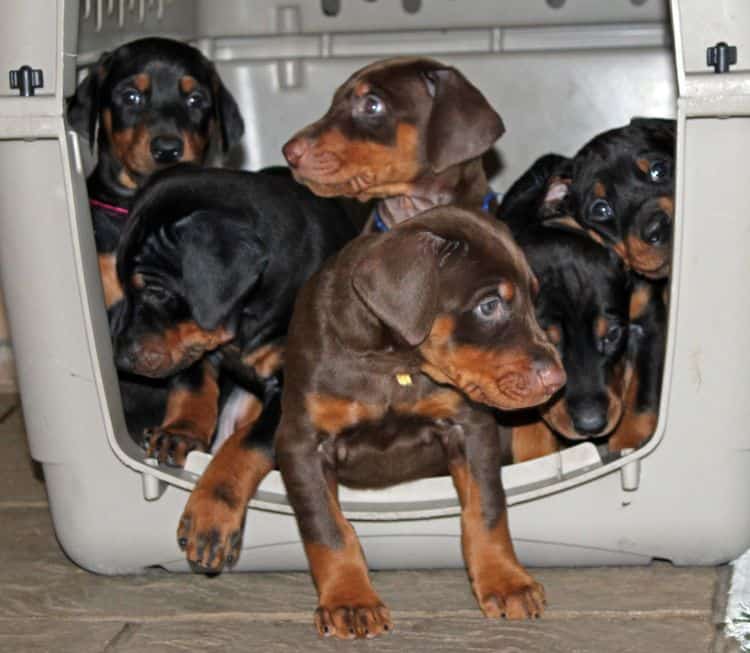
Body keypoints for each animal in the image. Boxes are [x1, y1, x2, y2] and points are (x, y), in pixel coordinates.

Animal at [274, 205, 564, 636]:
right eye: (489, 305)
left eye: (534, 296)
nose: (557, 380)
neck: (394, 365)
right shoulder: (301, 443)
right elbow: (328, 528)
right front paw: (350, 600)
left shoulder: (470, 426)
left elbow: (487, 510)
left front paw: (505, 581)